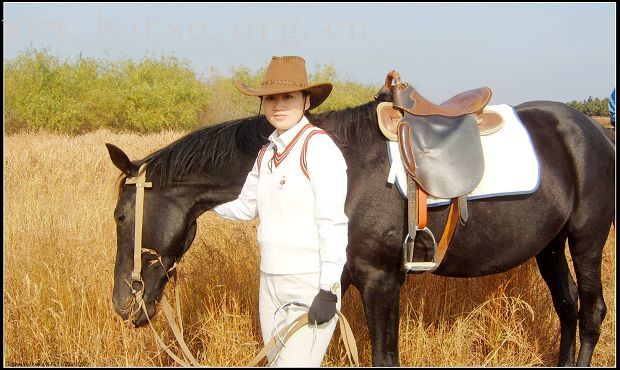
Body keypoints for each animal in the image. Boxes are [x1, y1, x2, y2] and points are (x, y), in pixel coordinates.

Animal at [108, 97, 616, 366]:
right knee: (567, 307)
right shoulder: (341, 284)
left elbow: (384, 358)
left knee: (591, 312)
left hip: (586, 241)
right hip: (549, 247)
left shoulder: (381, 282)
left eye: (120, 216)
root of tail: (594, 131)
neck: (345, 169)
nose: (123, 303)